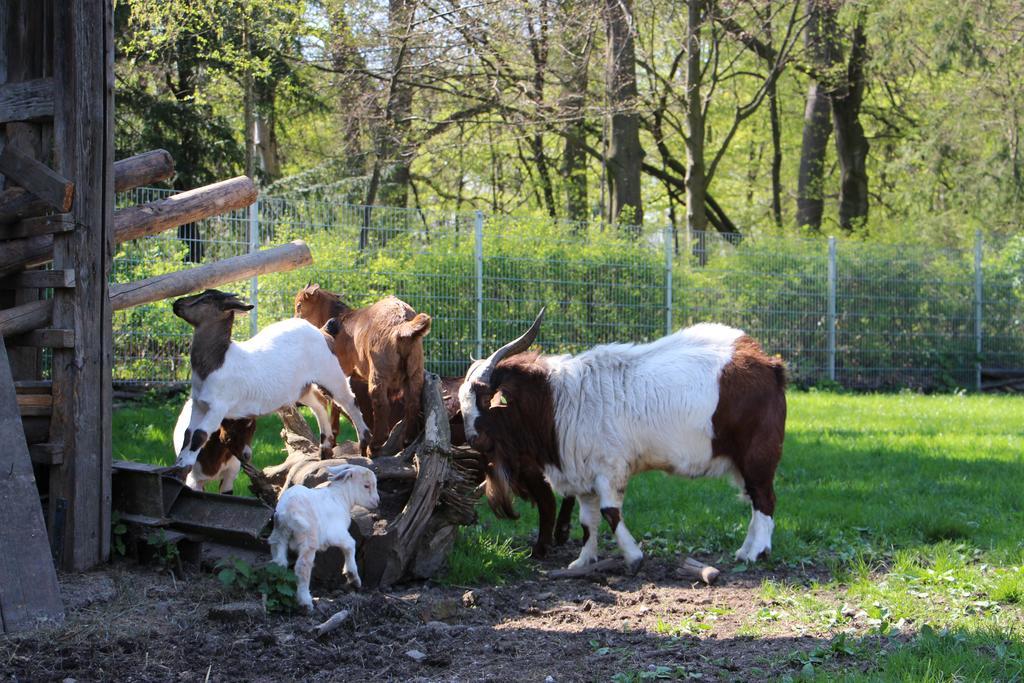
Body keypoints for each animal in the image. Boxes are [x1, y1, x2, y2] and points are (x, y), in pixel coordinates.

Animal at [173, 286, 372, 471]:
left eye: (207, 300)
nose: (177, 304)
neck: (219, 360)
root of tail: (322, 332)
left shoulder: (219, 406)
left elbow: (199, 435)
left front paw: (186, 463)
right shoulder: (199, 404)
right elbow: (188, 433)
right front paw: (180, 461)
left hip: (329, 372)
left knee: (349, 401)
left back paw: (364, 442)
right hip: (301, 387)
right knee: (320, 404)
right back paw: (325, 449)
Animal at [268, 464, 380, 610]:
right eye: (366, 485)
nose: (377, 501)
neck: (340, 498)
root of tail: (287, 511)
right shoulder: (336, 533)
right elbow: (351, 544)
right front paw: (353, 578)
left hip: (279, 534)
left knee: (279, 563)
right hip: (308, 538)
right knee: (302, 567)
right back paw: (306, 602)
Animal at [292, 282, 432, 454]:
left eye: (299, 305)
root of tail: (402, 323)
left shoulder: (339, 370)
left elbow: (337, 401)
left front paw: (333, 439)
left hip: (379, 370)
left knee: (381, 404)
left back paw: (374, 445)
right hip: (415, 369)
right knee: (412, 401)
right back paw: (407, 440)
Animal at [460, 309, 786, 573]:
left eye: (485, 400)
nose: (474, 440)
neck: (557, 401)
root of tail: (769, 365)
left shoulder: (611, 468)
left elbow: (610, 512)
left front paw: (633, 557)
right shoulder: (582, 473)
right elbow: (588, 521)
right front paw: (583, 560)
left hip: (757, 455)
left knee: (764, 498)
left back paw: (754, 553)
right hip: (739, 461)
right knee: (756, 501)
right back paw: (748, 550)